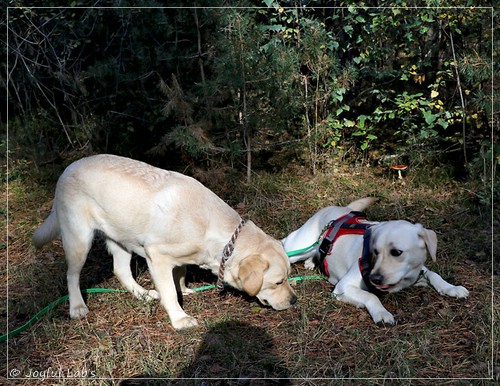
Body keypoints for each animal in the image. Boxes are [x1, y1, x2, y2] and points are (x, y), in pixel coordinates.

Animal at [32, 154, 296, 328]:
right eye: (278, 282)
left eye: (288, 277)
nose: (294, 300)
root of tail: (66, 169)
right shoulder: (157, 257)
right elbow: (169, 291)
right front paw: (179, 318)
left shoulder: (179, 259)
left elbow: (179, 275)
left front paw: (185, 289)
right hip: (79, 240)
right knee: (71, 275)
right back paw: (77, 306)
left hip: (122, 238)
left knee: (120, 270)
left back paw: (143, 294)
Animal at [282, 198, 468, 324]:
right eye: (375, 251)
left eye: (397, 252)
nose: (375, 279)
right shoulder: (344, 286)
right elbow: (371, 296)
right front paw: (382, 313)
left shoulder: (417, 272)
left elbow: (435, 275)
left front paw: (452, 288)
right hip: (299, 246)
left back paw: (311, 262)